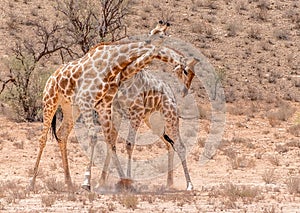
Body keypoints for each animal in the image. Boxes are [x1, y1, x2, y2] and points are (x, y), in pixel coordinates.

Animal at [27, 22, 197, 191]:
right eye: (186, 71)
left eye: (191, 73)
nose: (185, 90)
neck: (118, 69)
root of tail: (51, 76)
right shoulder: (93, 104)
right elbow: (99, 138)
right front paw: (90, 182)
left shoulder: (110, 107)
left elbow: (112, 142)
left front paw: (122, 181)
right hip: (51, 101)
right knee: (43, 138)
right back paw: (32, 182)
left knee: (176, 145)